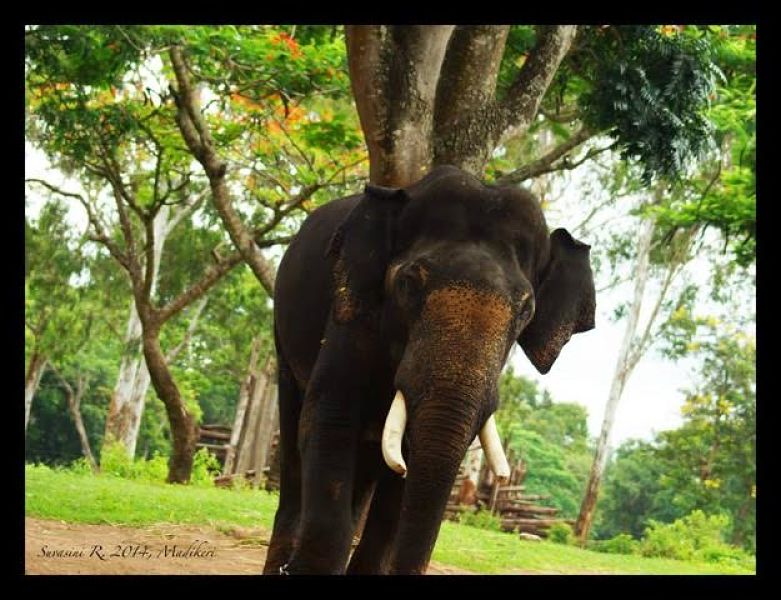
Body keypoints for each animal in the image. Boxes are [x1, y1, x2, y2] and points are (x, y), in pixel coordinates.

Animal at [263, 165, 596, 575]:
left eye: (526, 310)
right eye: (407, 284)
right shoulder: (352, 314)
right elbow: (330, 419)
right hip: (283, 340)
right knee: (294, 429)